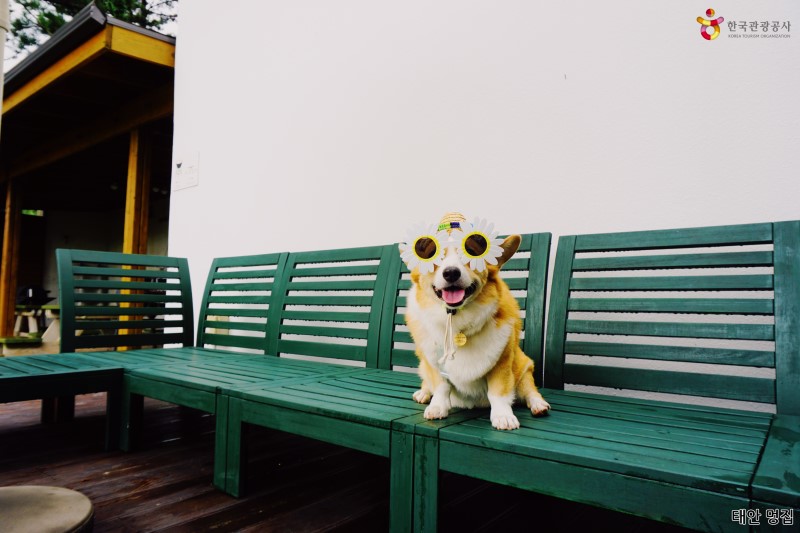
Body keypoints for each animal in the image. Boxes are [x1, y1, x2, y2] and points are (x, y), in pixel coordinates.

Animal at [400, 211, 552, 428]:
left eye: (470, 253)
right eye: (435, 256)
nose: (451, 272)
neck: (457, 322)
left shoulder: (502, 363)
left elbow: (498, 392)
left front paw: (503, 416)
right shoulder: (434, 365)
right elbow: (441, 387)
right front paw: (437, 407)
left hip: (523, 366)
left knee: (529, 389)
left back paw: (538, 405)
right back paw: (423, 393)